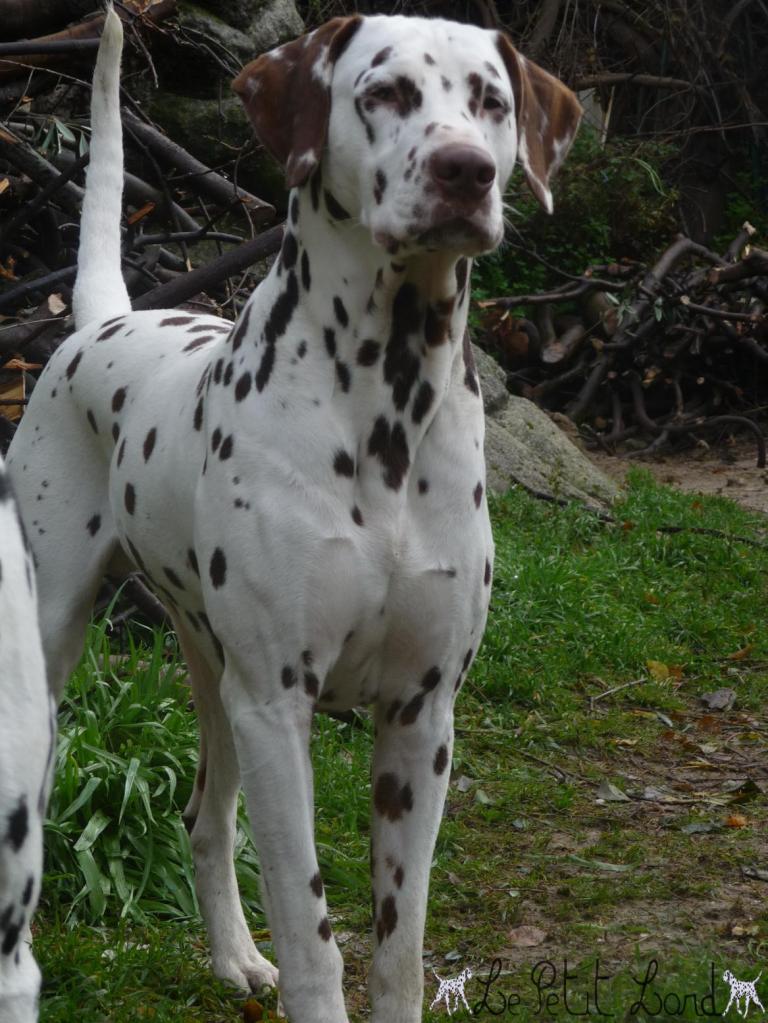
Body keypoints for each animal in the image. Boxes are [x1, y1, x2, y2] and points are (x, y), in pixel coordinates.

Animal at [7, 9, 580, 1023]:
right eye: (384, 91)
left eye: (491, 101)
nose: (466, 169)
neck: (388, 403)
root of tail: (102, 321)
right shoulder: (280, 708)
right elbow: (314, 932)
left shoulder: (421, 720)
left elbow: (400, 942)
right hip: (64, 648)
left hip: (216, 676)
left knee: (204, 818)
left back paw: (236, 957)